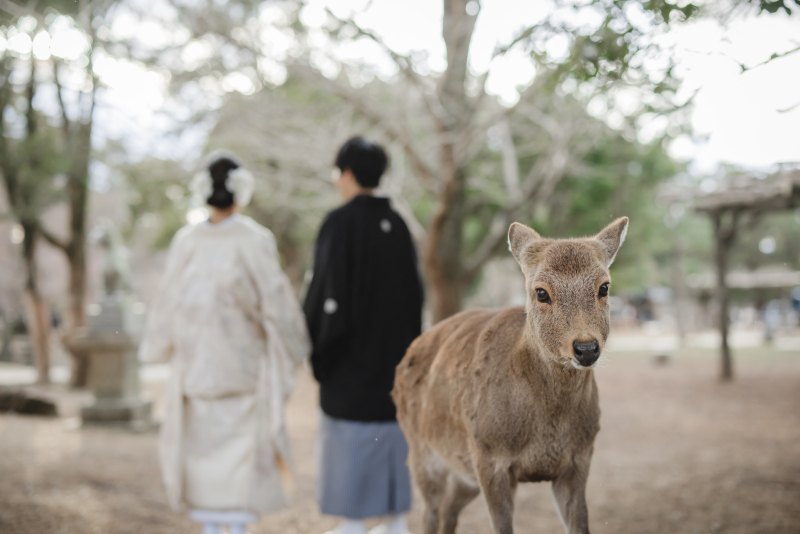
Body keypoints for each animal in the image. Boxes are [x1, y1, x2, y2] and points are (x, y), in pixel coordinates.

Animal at [392, 217, 628, 534]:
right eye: (541, 292)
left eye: (604, 287)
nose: (586, 348)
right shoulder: (489, 457)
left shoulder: (580, 458)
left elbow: (580, 524)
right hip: (422, 451)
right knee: (429, 512)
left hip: (463, 471)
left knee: (449, 510)